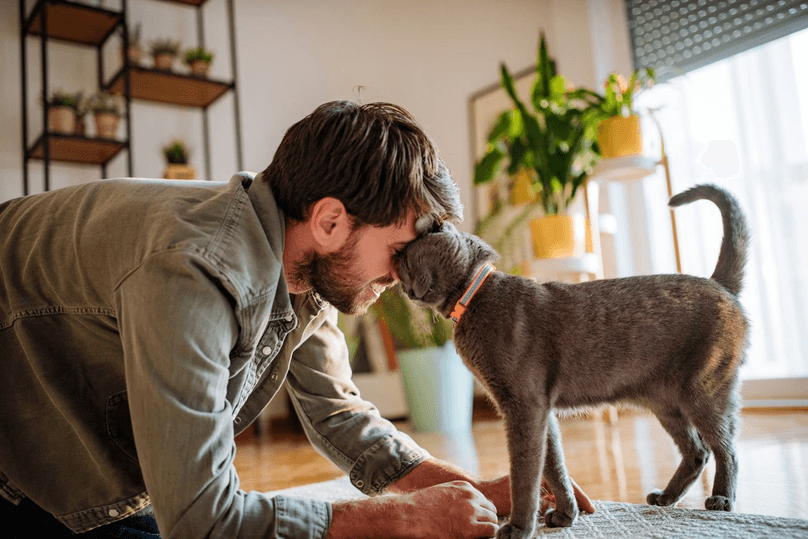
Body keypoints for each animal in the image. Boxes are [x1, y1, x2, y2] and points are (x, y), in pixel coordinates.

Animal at [398, 186, 752, 539]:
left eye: (405, 263)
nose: (404, 288)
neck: (473, 299)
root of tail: (718, 283)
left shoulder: (524, 406)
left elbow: (525, 471)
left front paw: (519, 526)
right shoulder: (540, 410)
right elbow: (553, 465)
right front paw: (566, 514)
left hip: (703, 390)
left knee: (726, 448)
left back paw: (721, 499)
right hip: (665, 402)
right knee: (698, 451)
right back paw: (666, 496)